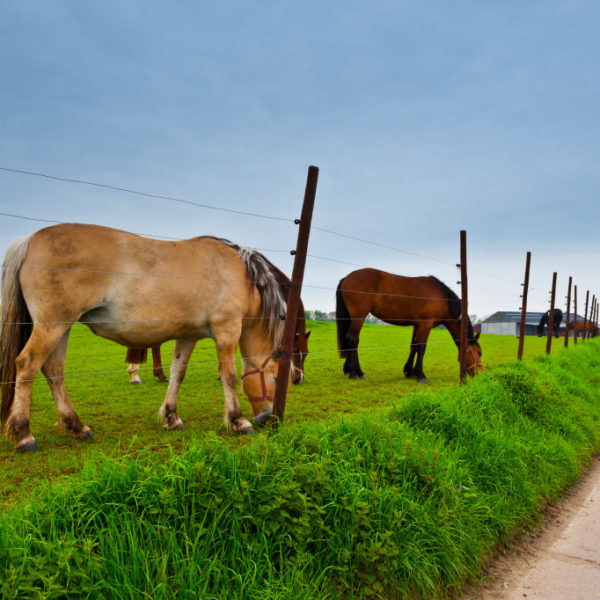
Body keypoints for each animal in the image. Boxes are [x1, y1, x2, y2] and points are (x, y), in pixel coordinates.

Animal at [0, 224, 298, 450]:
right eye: (275, 379)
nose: (268, 418)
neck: (241, 276)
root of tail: (30, 241)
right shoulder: (227, 330)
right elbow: (230, 376)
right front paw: (238, 421)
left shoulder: (188, 337)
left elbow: (178, 373)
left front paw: (171, 416)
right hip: (53, 326)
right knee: (27, 365)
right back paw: (24, 435)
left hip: (61, 327)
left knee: (53, 370)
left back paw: (76, 426)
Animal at [338, 268, 482, 382]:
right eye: (479, 353)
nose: (480, 374)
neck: (442, 298)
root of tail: (347, 278)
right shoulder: (426, 324)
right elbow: (422, 347)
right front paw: (421, 376)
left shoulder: (418, 325)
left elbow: (414, 346)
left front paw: (409, 372)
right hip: (359, 317)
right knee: (353, 339)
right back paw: (356, 373)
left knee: (353, 340)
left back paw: (352, 370)